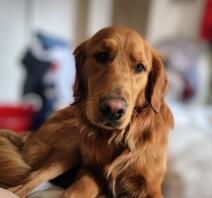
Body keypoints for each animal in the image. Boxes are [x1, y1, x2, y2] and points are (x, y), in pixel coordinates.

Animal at [0, 26, 173, 198]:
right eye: (101, 56)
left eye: (139, 67)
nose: (113, 110)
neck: (115, 137)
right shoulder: (90, 170)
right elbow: (75, 191)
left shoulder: (152, 186)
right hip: (70, 145)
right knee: (25, 183)